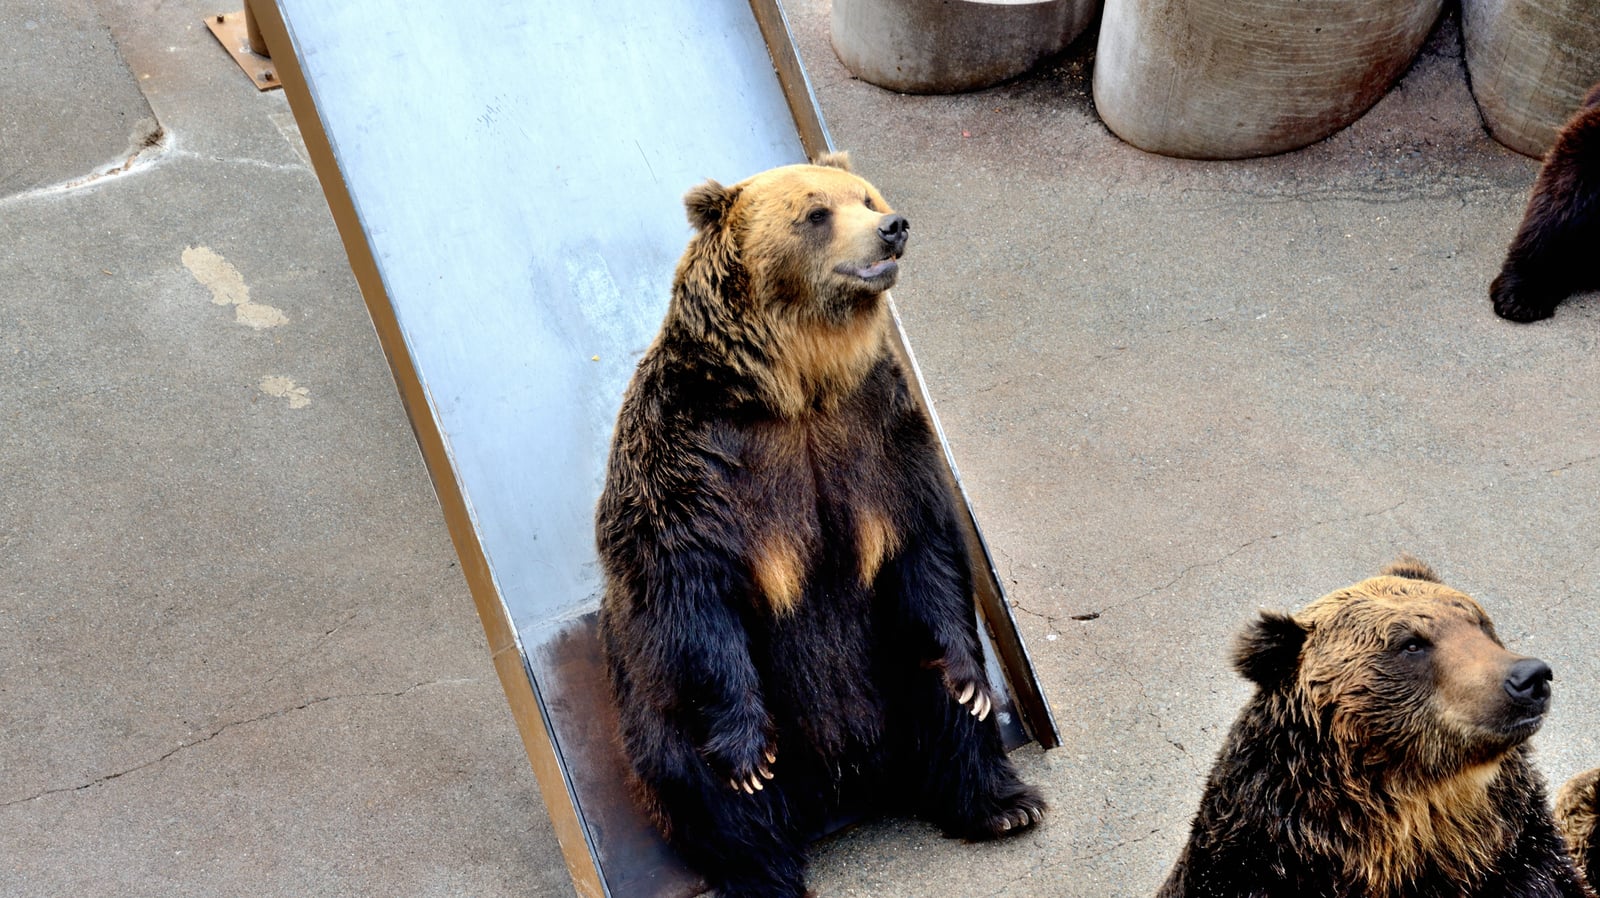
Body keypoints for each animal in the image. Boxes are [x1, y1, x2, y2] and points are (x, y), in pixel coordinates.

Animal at [595, 153, 1045, 898]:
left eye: (866, 197)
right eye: (815, 212)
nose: (893, 227)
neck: (799, 383)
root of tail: (846, 779)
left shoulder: (880, 432)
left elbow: (926, 547)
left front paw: (969, 684)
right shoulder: (693, 454)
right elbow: (690, 585)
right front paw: (750, 756)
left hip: (887, 655)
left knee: (938, 697)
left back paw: (1002, 802)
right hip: (658, 698)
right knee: (695, 776)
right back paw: (763, 873)